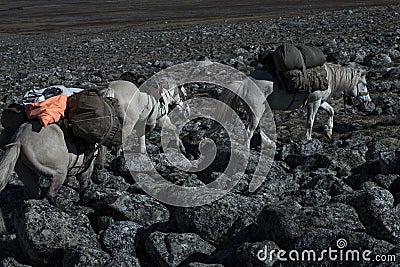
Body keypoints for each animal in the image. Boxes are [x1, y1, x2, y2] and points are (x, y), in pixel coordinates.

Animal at [219, 62, 372, 147]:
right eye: (364, 84)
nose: (368, 101)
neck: (328, 77)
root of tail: (245, 82)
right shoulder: (314, 102)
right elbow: (310, 121)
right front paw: (309, 139)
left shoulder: (319, 101)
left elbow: (331, 111)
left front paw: (328, 131)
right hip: (255, 112)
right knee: (249, 132)